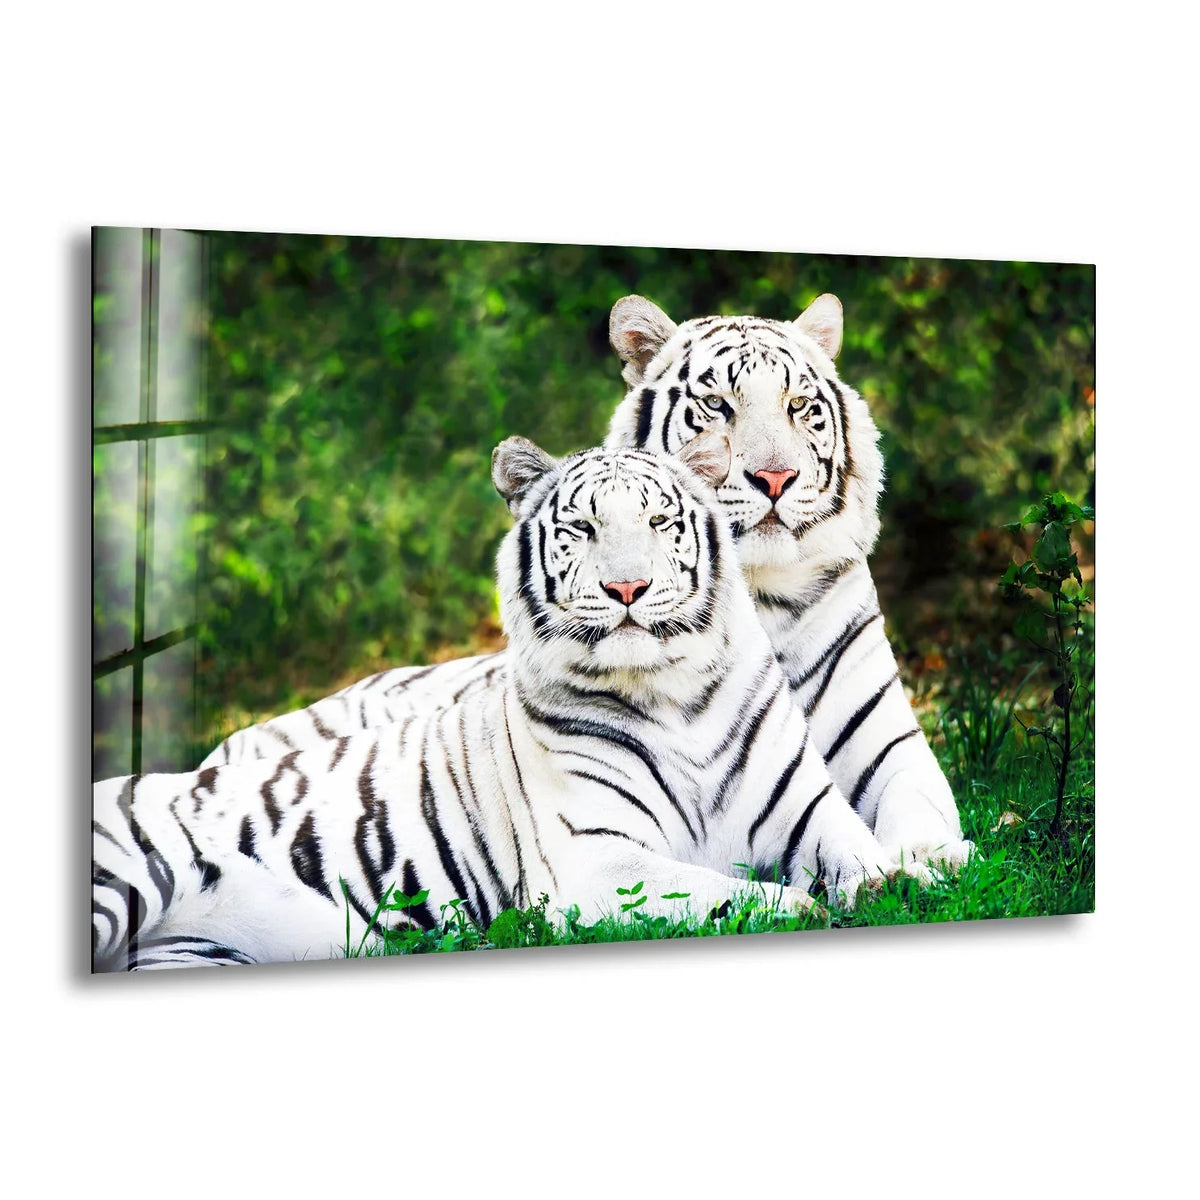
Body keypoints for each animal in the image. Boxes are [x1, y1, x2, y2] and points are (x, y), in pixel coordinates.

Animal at [94, 436, 914, 971]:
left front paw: (896, 883)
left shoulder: (809, 811)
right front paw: (805, 907)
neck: (675, 694)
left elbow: (865, 859)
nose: (627, 588)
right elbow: (729, 895)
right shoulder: (595, 859)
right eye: (582, 527)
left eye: (660, 522)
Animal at [203, 294, 972, 872]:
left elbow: (921, 811)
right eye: (717, 407)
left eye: (798, 405)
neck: (757, 598)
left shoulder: (889, 745)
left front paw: (928, 861)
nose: (774, 478)